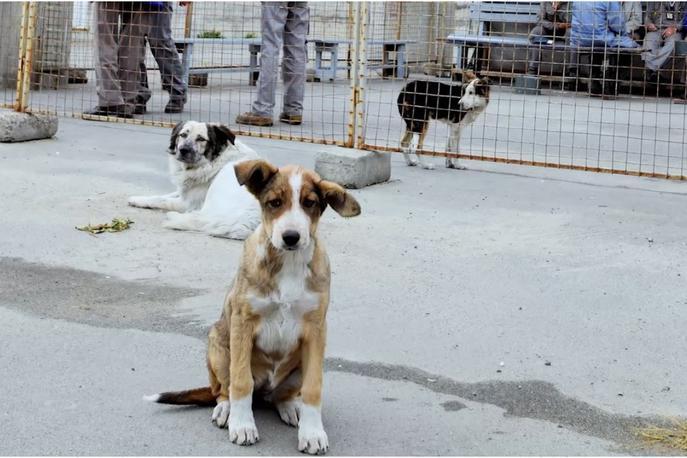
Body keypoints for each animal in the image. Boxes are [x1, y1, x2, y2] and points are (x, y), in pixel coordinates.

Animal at [128, 120, 260, 242]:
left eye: (201, 139)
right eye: (183, 135)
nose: (183, 150)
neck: (212, 163)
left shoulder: (188, 203)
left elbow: (162, 200)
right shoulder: (186, 190)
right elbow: (164, 195)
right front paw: (137, 199)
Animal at [143, 159, 362, 452]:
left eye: (310, 203)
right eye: (274, 203)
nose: (291, 237)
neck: (288, 263)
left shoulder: (316, 331)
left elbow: (314, 387)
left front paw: (313, 433)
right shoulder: (243, 323)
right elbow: (241, 382)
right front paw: (243, 425)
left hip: (296, 367)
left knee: (281, 396)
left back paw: (291, 407)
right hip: (219, 345)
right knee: (223, 390)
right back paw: (226, 410)